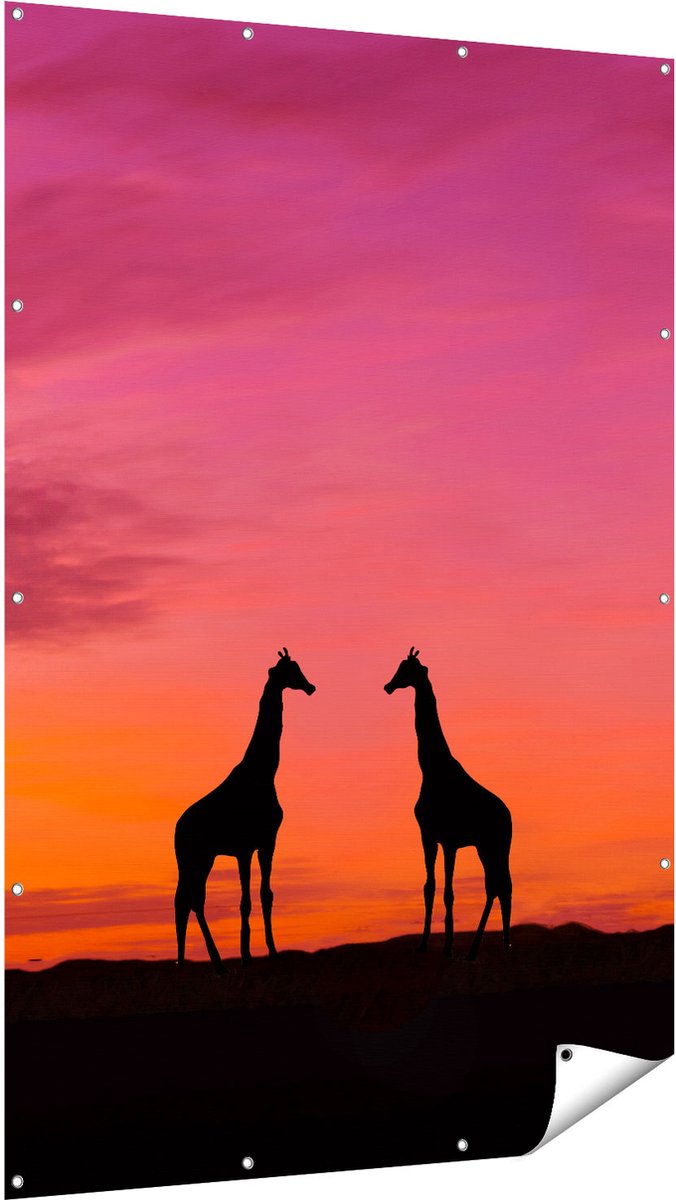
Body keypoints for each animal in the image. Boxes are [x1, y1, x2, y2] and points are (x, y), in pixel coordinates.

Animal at [174, 648, 316, 968]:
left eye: (298, 668)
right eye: (290, 671)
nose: (310, 687)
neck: (264, 772)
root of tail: (176, 829)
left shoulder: (268, 841)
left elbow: (266, 895)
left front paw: (272, 951)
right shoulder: (243, 848)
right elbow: (245, 901)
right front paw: (246, 955)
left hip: (204, 858)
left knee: (190, 900)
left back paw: (207, 962)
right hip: (192, 858)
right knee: (187, 900)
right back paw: (201, 962)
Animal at [384, 648, 512, 961]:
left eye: (407, 670)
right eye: (399, 667)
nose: (388, 686)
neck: (431, 769)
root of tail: (509, 816)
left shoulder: (450, 841)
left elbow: (449, 892)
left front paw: (448, 946)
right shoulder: (428, 835)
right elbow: (429, 887)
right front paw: (423, 944)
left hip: (496, 845)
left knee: (500, 886)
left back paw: (490, 947)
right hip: (485, 847)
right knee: (497, 886)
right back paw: (488, 947)